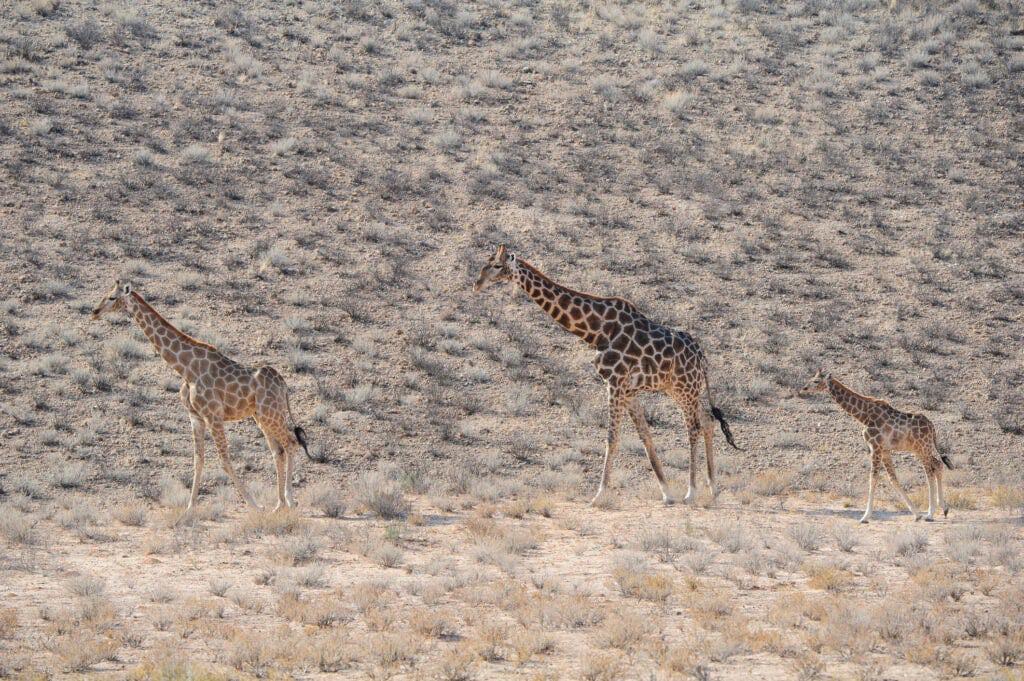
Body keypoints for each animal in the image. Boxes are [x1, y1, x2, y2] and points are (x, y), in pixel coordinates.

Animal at [91, 278, 307, 512]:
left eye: (112, 297)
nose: (94, 312)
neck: (186, 369)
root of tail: (283, 385)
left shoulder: (213, 416)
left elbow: (224, 460)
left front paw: (254, 506)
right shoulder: (195, 417)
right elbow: (198, 459)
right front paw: (189, 507)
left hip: (271, 414)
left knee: (291, 443)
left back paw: (290, 501)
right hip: (262, 417)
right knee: (278, 451)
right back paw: (278, 504)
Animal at [475, 244, 741, 503]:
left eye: (496, 265)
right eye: (485, 262)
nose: (477, 284)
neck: (597, 331)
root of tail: (702, 358)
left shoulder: (614, 383)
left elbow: (612, 438)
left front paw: (599, 495)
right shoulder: (629, 390)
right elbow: (646, 437)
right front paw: (666, 492)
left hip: (686, 389)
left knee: (693, 428)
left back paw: (692, 491)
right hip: (680, 389)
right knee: (707, 420)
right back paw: (713, 489)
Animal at [798, 368, 950, 522]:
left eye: (816, 381)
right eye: (811, 379)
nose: (803, 389)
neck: (864, 416)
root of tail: (932, 427)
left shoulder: (875, 447)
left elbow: (873, 478)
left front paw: (865, 516)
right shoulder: (885, 450)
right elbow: (893, 479)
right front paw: (916, 514)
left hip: (923, 447)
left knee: (931, 470)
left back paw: (930, 514)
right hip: (919, 449)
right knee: (937, 465)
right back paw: (943, 509)